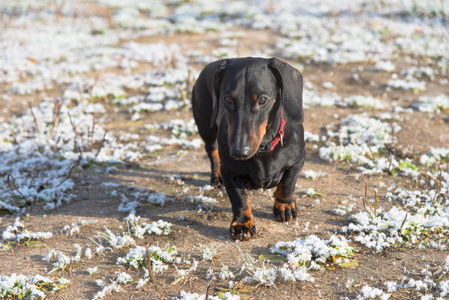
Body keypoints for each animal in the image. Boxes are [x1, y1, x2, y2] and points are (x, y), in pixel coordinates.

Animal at [191, 57, 306, 241]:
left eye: (262, 99)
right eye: (227, 99)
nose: (239, 152)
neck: (263, 150)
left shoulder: (298, 160)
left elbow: (288, 183)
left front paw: (285, 206)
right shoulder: (229, 171)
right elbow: (240, 199)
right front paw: (242, 224)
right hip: (206, 128)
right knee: (212, 151)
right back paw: (216, 175)